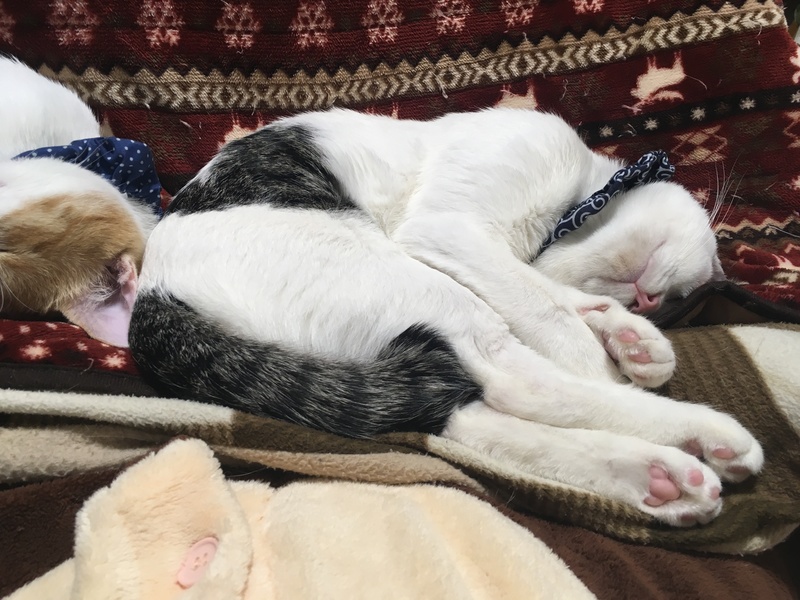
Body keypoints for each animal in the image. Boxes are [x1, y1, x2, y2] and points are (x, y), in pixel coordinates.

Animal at [129, 107, 763, 527]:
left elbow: (549, 297)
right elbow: (549, 313)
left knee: (460, 412)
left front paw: (634, 340)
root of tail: (150, 299)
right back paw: (700, 434)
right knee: (518, 382)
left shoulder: (491, 260)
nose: (651, 303)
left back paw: (660, 477)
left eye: (676, 299)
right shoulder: (450, 231)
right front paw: (609, 356)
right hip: (409, 283)